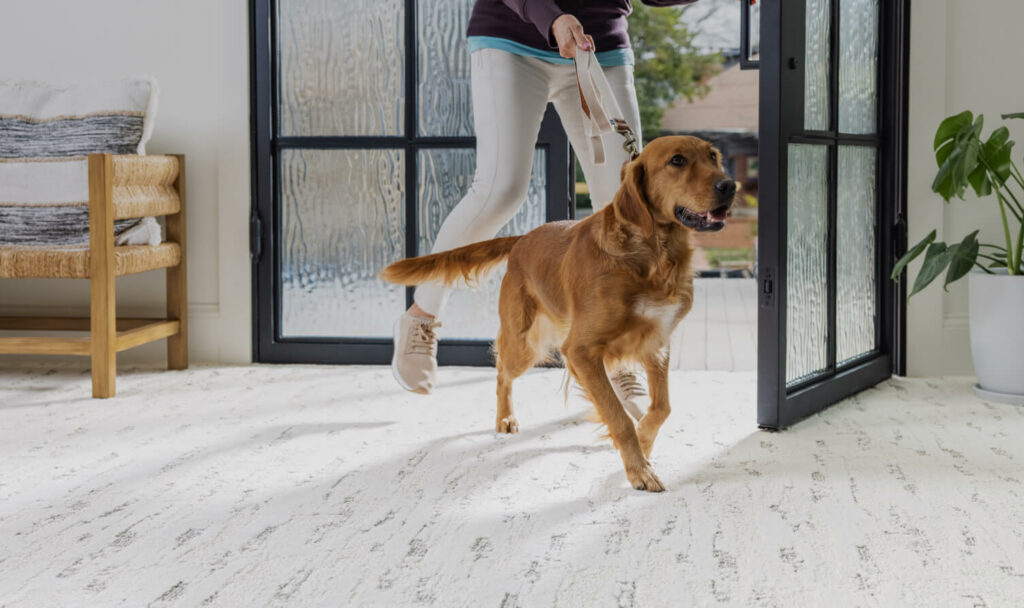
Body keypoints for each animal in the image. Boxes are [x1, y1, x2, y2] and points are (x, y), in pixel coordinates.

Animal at [380, 135, 733, 489]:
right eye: (677, 160)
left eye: (713, 156)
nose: (730, 185)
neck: (651, 253)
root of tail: (523, 239)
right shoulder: (580, 350)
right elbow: (618, 416)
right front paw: (639, 469)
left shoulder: (655, 343)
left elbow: (662, 408)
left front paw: (644, 442)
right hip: (525, 345)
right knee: (502, 371)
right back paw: (505, 417)